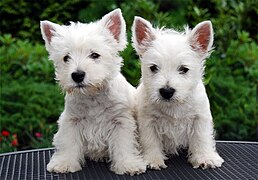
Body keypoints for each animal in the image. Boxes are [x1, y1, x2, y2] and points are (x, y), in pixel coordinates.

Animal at [39, 8, 145, 176]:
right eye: (66, 58)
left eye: (95, 55)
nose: (77, 75)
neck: (93, 96)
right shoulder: (71, 121)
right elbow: (68, 143)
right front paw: (64, 163)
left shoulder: (121, 121)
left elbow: (124, 144)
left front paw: (128, 165)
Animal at [133, 16, 224, 170]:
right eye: (153, 68)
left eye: (184, 69)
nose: (166, 91)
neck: (174, 106)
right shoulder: (148, 120)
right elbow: (150, 140)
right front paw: (152, 160)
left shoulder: (200, 118)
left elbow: (201, 138)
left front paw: (205, 158)